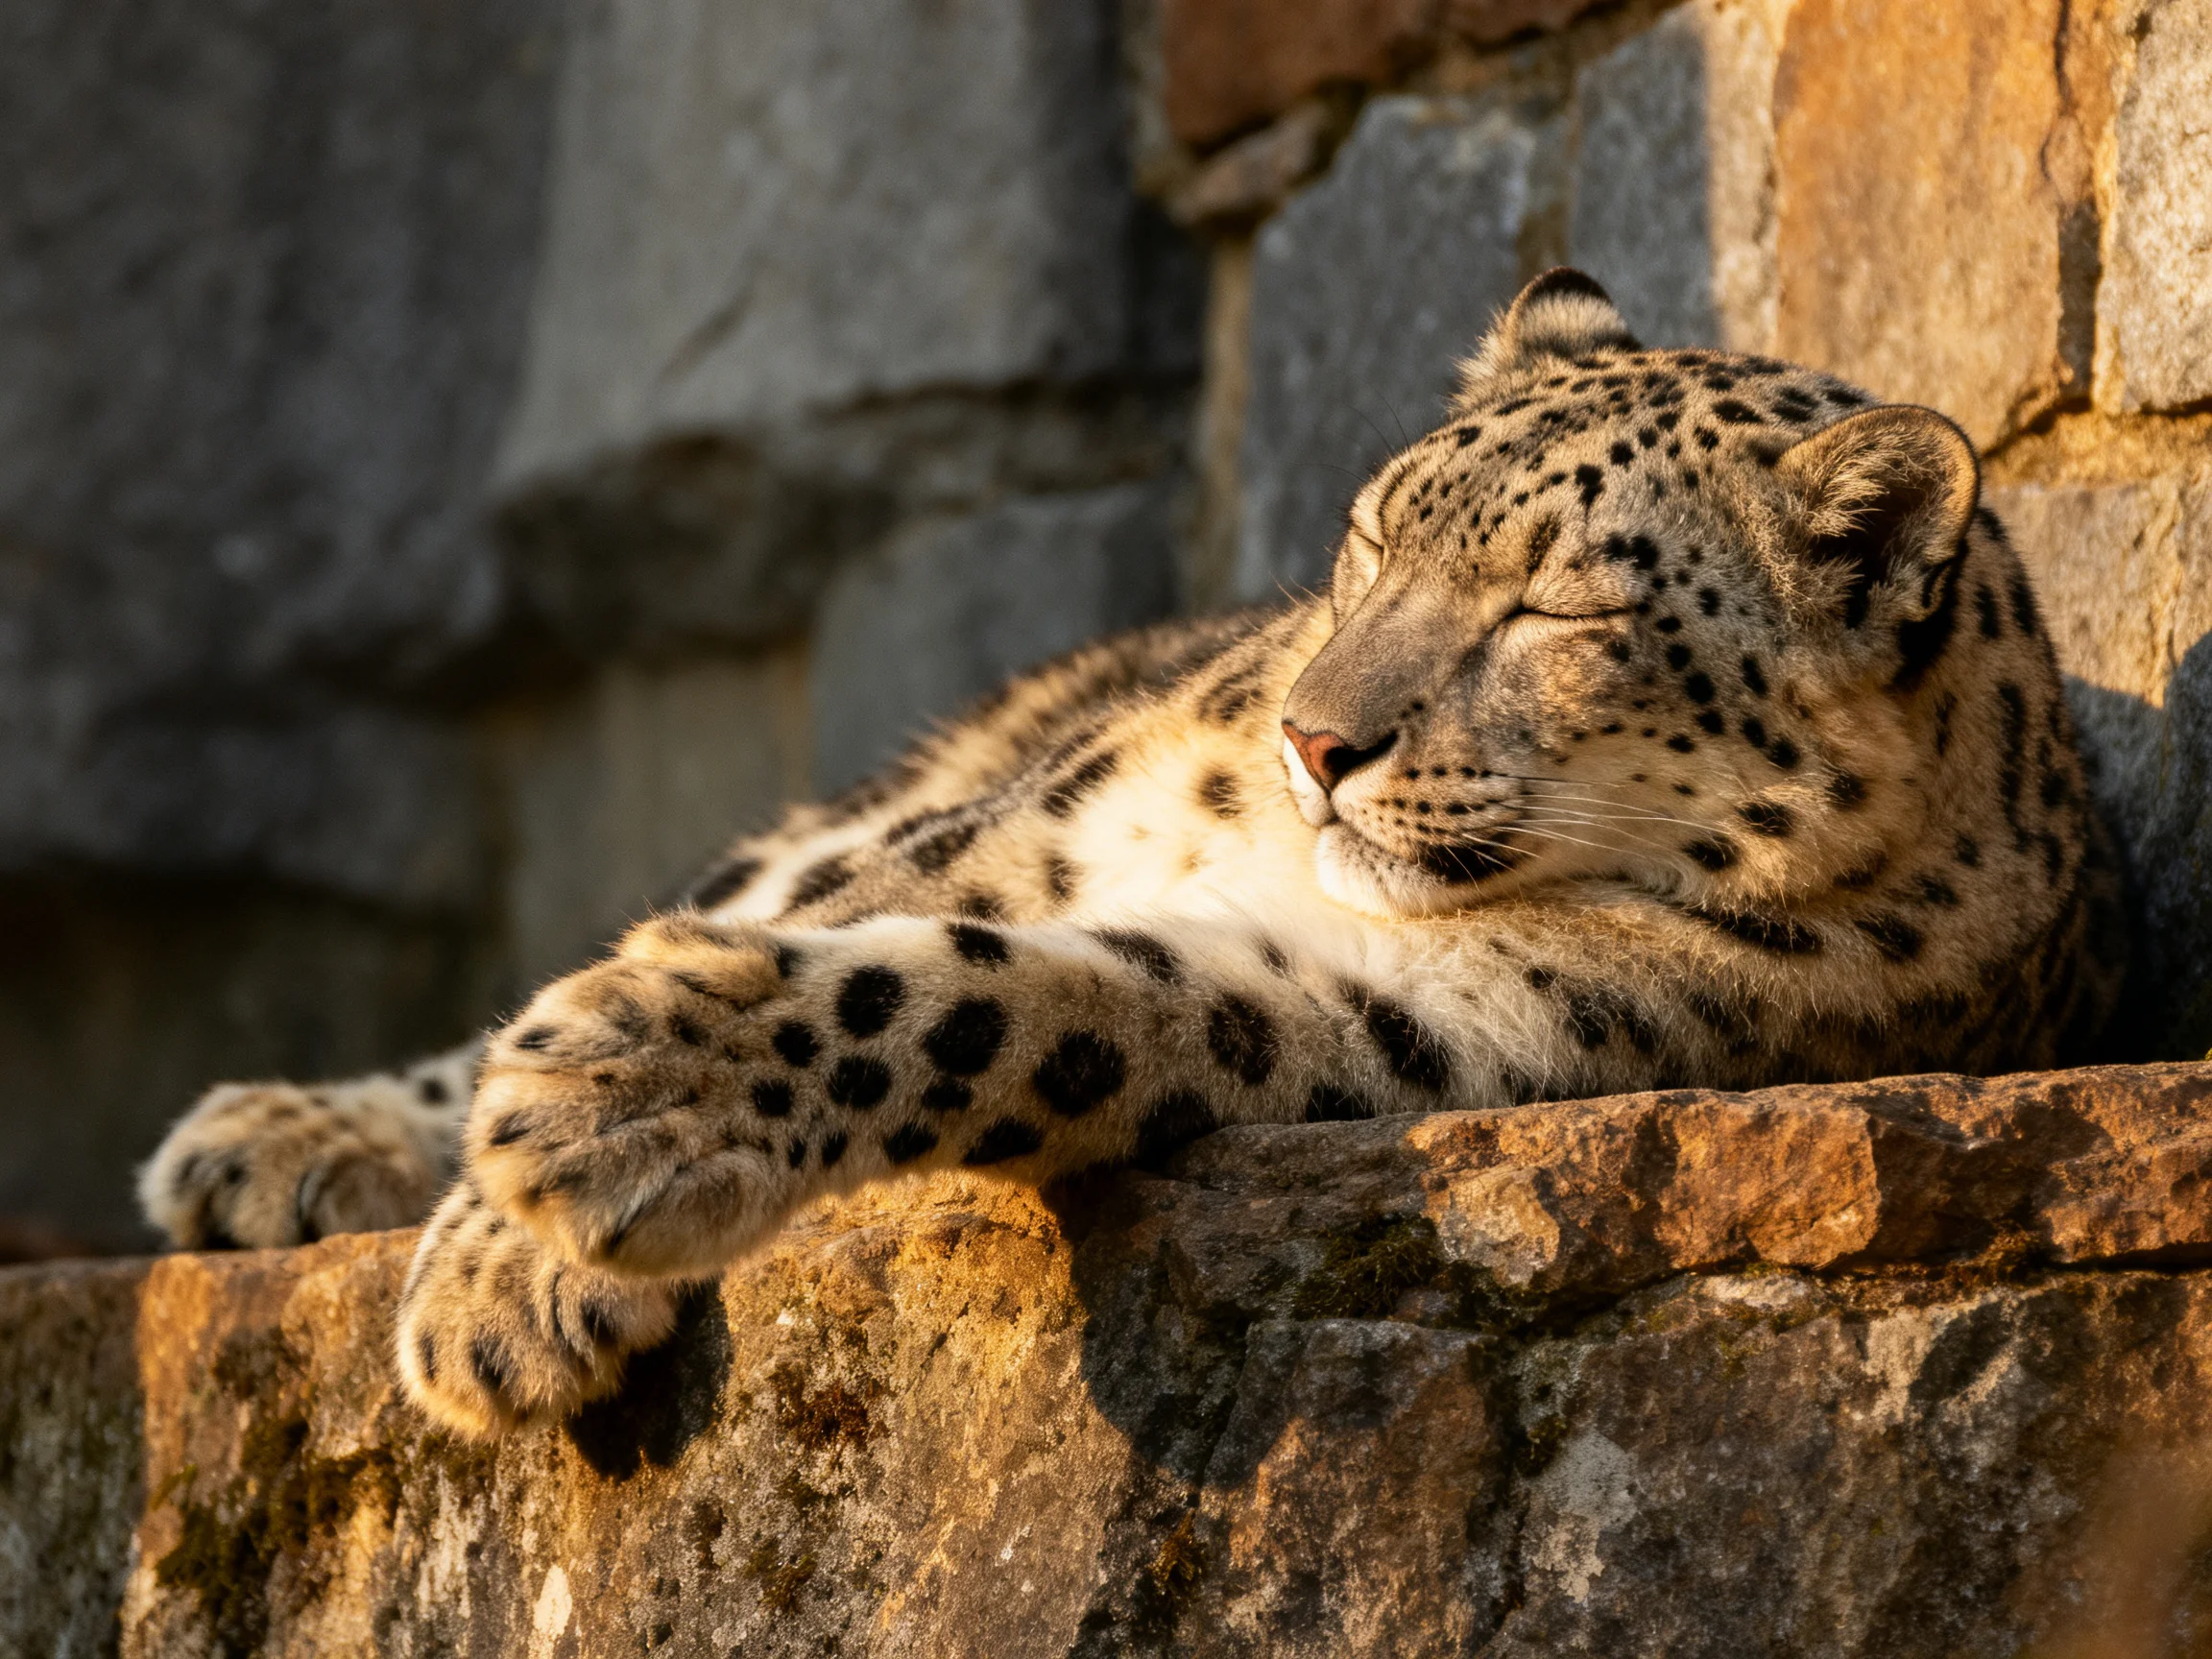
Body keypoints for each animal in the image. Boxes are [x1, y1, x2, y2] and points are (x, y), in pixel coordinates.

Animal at [139, 269, 2125, 1439]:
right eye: (1370, 534)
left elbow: (975, 999)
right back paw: (273, 1140)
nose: (1310, 737)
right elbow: (862, 915)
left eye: (1555, 607)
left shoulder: (1426, 1018)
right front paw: (509, 1221)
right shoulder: (1019, 823)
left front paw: (590, 1147)